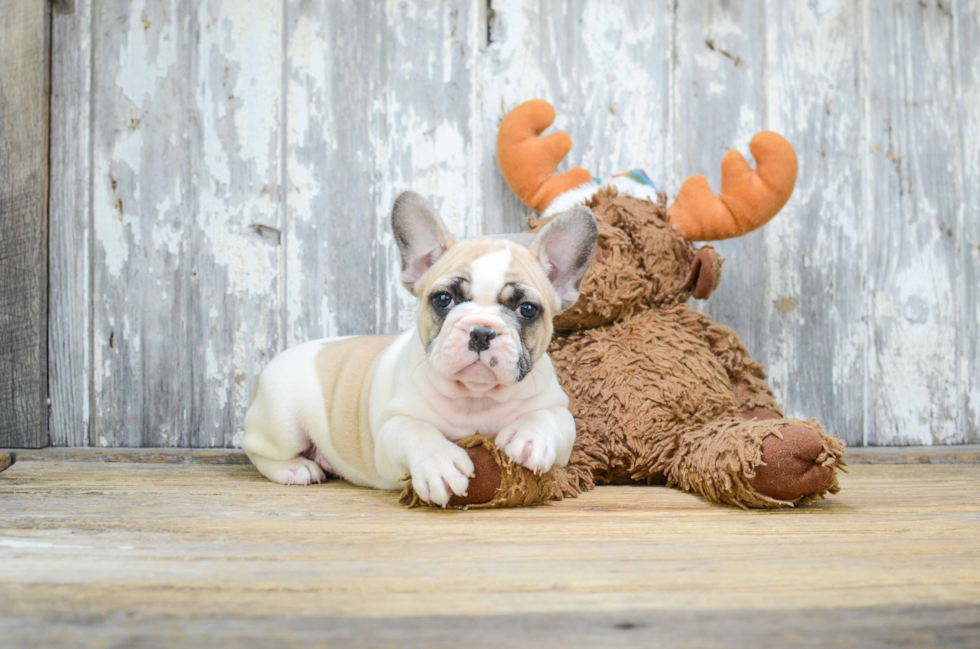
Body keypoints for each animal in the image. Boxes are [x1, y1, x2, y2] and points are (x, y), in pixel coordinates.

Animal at [245, 190, 596, 504]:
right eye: (443, 299)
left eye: (527, 309)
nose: (481, 332)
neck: (476, 397)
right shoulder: (392, 429)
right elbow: (417, 431)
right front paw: (440, 463)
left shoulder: (559, 413)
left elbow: (548, 418)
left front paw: (530, 436)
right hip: (283, 423)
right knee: (258, 450)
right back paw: (296, 469)